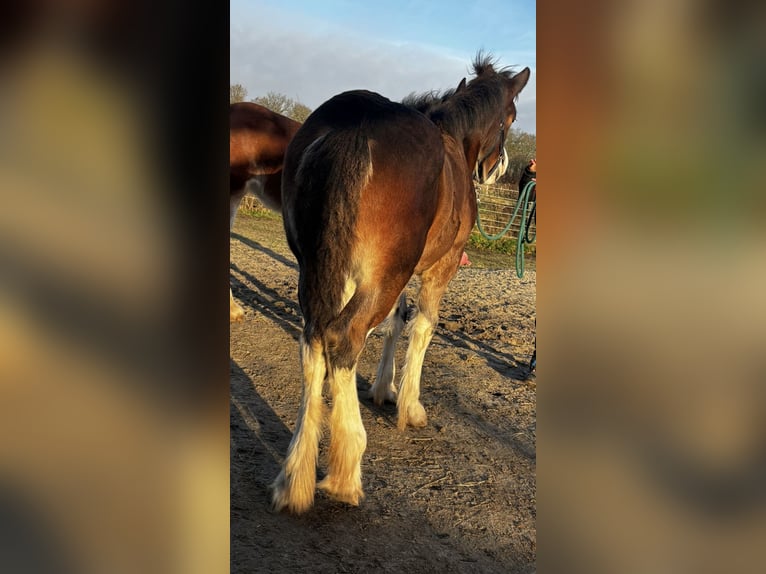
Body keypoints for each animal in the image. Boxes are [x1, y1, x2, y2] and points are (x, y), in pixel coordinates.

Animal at [271, 54, 530, 514]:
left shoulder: (396, 274)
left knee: (315, 341)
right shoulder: (440, 267)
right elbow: (423, 326)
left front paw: (383, 388)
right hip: (381, 276)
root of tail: (357, 127)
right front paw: (409, 406)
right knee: (342, 338)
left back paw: (295, 477)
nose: (494, 168)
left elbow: (396, 321)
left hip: (323, 270)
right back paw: (346, 472)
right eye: (511, 117)